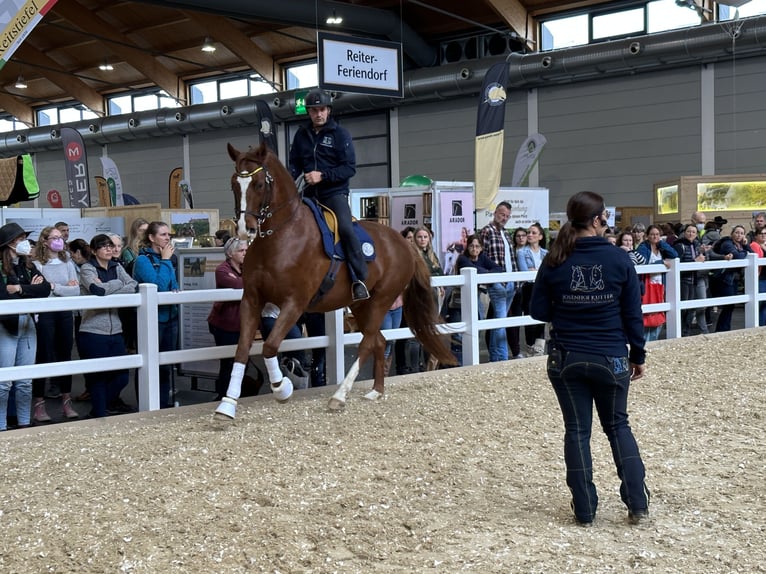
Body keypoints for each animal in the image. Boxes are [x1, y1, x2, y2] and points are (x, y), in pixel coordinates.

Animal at [214, 142, 455, 419]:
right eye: (234, 184)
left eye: (260, 184)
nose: (246, 229)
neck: (280, 238)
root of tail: (406, 244)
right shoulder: (252, 300)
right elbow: (243, 349)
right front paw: (227, 405)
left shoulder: (294, 303)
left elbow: (270, 346)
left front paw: (282, 388)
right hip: (362, 305)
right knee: (379, 341)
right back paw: (375, 391)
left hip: (382, 300)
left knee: (367, 342)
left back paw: (339, 396)